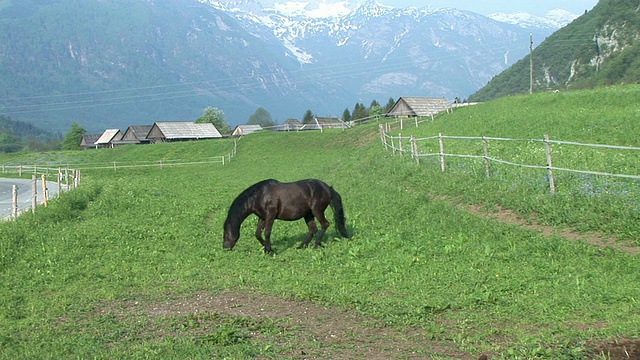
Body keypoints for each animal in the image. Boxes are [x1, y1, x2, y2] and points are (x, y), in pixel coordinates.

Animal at [221, 178, 350, 253]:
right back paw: (302, 246)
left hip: (317, 211)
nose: (225, 247)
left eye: (226, 233)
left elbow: (267, 233)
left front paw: (270, 251)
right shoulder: (262, 217)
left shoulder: (270, 215)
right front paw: (267, 249)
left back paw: (315, 245)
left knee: (325, 224)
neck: (260, 195)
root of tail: (328, 188)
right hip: (308, 214)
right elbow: (258, 234)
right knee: (313, 229)